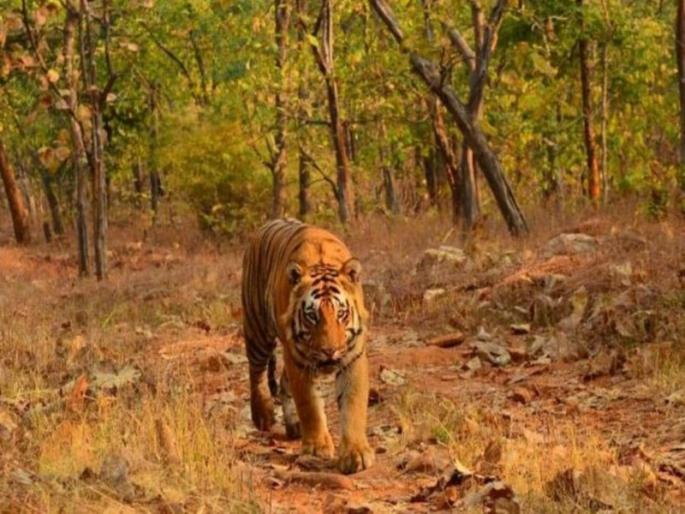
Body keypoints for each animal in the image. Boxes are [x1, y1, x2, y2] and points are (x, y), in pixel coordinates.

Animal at [241, 218, 374, 474]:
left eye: (341, 314)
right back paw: (263, 414)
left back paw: (293, 425)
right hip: (257, 327)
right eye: (312, 316)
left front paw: (356, 453)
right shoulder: (298, 360)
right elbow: (309, 405)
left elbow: (353, 405)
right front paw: (317, 447)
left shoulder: (353, 357)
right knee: (257, 371)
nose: (330, 351)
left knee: (281, 381)